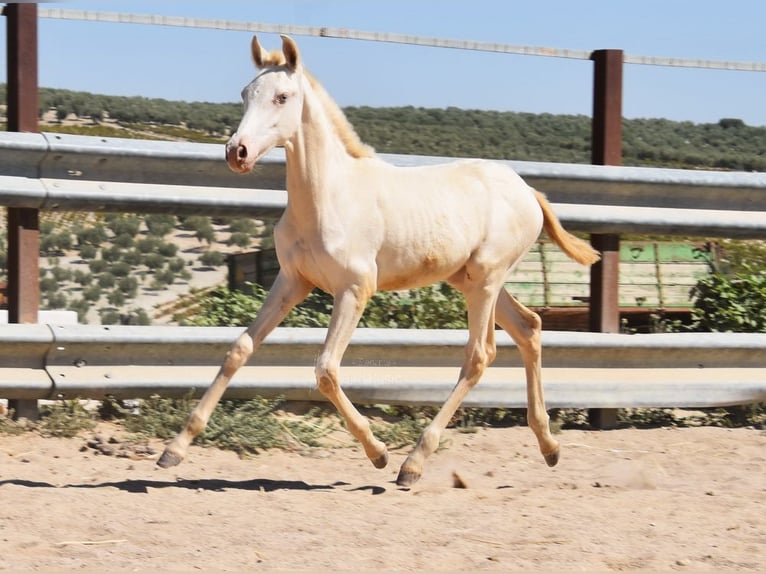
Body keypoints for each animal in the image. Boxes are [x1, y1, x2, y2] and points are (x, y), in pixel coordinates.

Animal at [158, 35, 600, 486]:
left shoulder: (354, 289)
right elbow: (239, 349)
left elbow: (326, 370)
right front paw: (174, 449)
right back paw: (549, 446)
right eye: (246, 94)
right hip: (472, 280)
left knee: (479, 356)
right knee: (529, 328)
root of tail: (529, 191)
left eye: (282, 97)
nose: (237, 152)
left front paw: (379, 453)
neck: (327, 198)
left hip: (486, 280)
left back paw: (413, 464)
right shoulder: (292, 281)